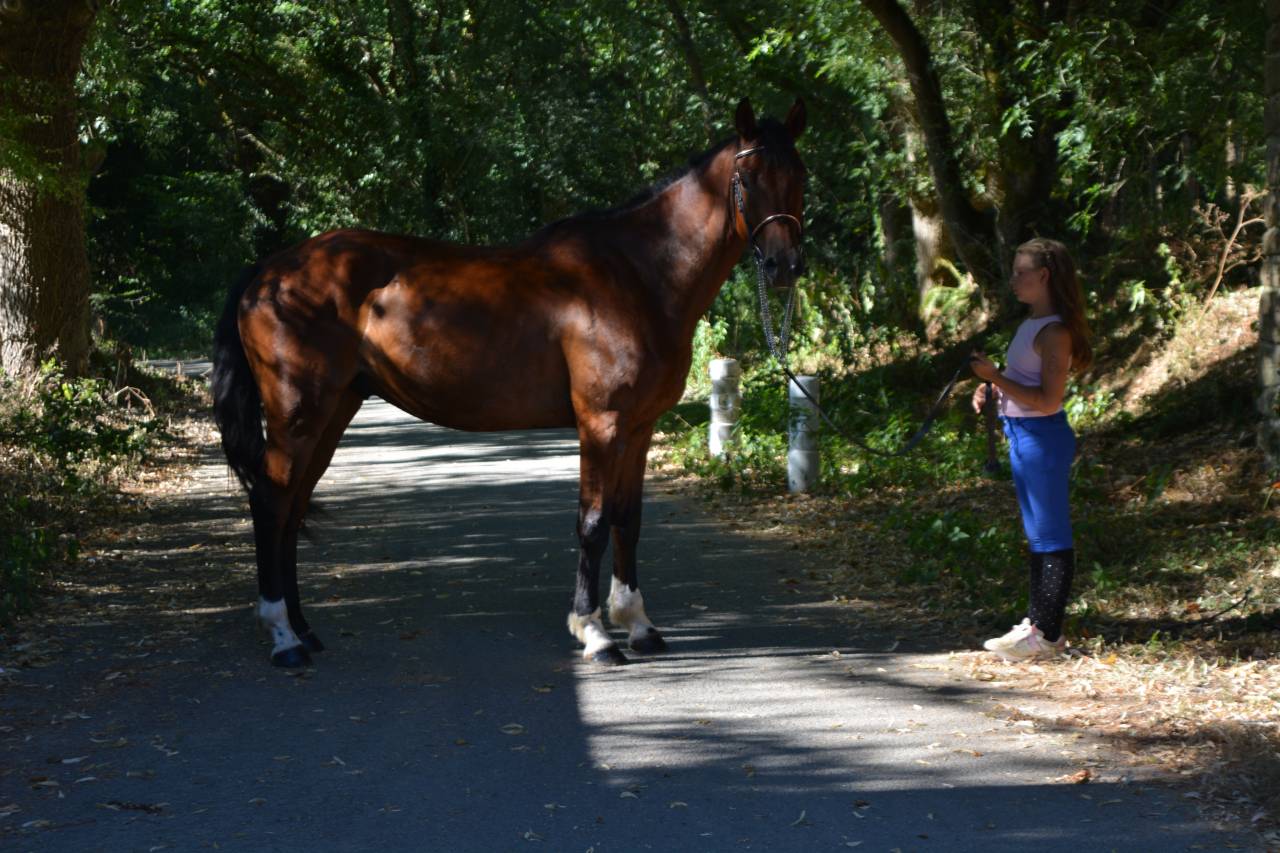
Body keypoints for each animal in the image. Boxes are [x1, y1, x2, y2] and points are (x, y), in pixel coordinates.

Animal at [211, 97, 807, 667]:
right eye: (748, 178)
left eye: (800, 175)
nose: (783, 267)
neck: (637, 275)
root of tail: (268, 271)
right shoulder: (601, 423)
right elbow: (593, 521)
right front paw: (594, 633)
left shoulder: (639, 427)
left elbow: (629, 520)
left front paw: (639, 625)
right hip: (297, 414)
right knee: (272, 504)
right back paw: (283, 638)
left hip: (333, 411)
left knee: (292, 510)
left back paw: (305, 631)